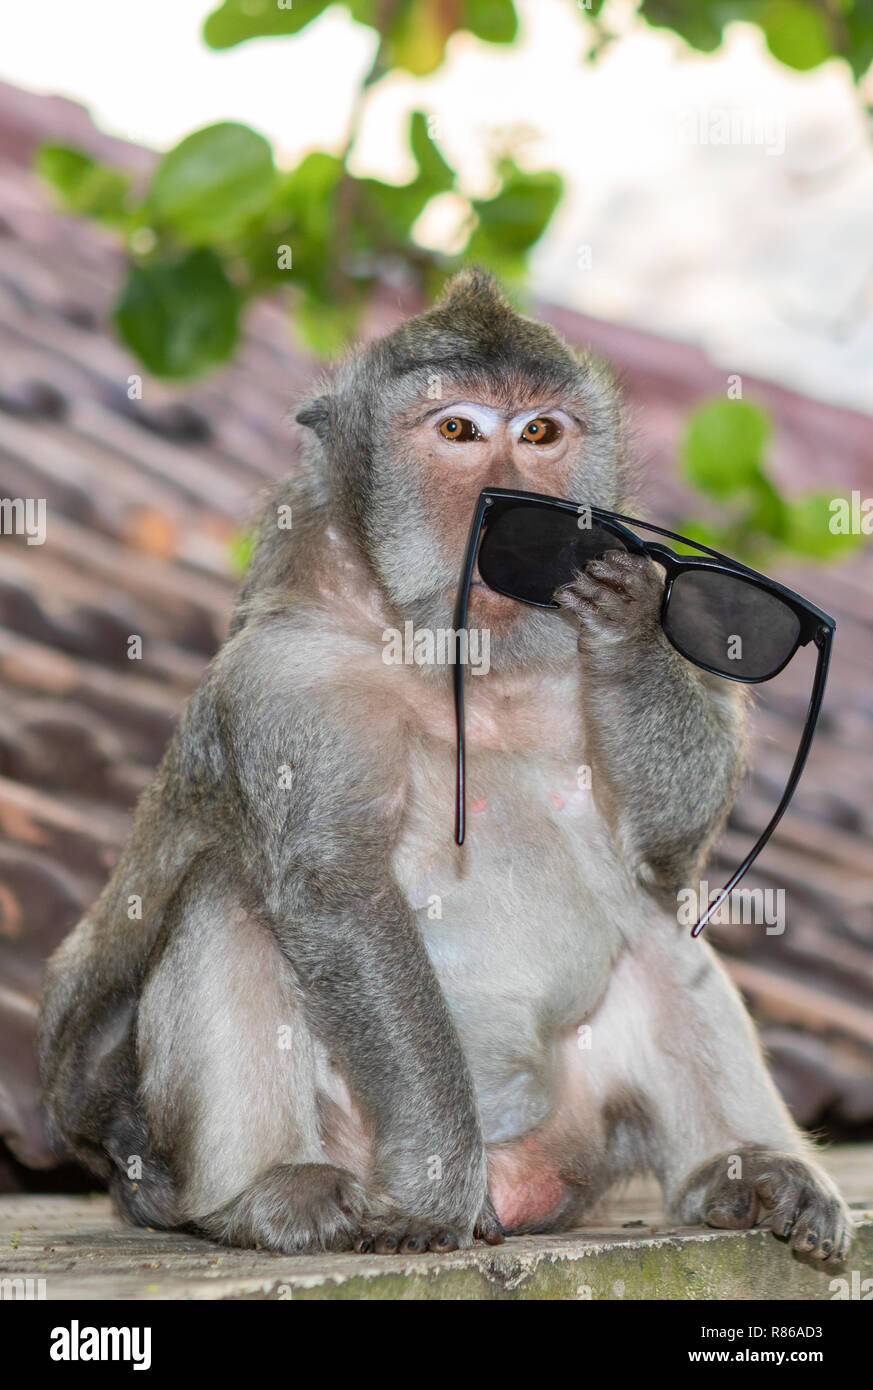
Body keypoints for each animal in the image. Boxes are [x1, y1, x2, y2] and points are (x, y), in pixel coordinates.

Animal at [38, 270, 853, 1263]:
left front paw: (620, 619)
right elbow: (340, 892)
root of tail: (519, 1176)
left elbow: (667, 849)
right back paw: (272, 1190)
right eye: (458, 431)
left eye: (538, 433)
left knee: (656, 924)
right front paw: (431, 1189)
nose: (525, 510)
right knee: (228, 894)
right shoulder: (290, 679)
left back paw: (741, 1173)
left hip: (577, 1128)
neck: (458, 653)